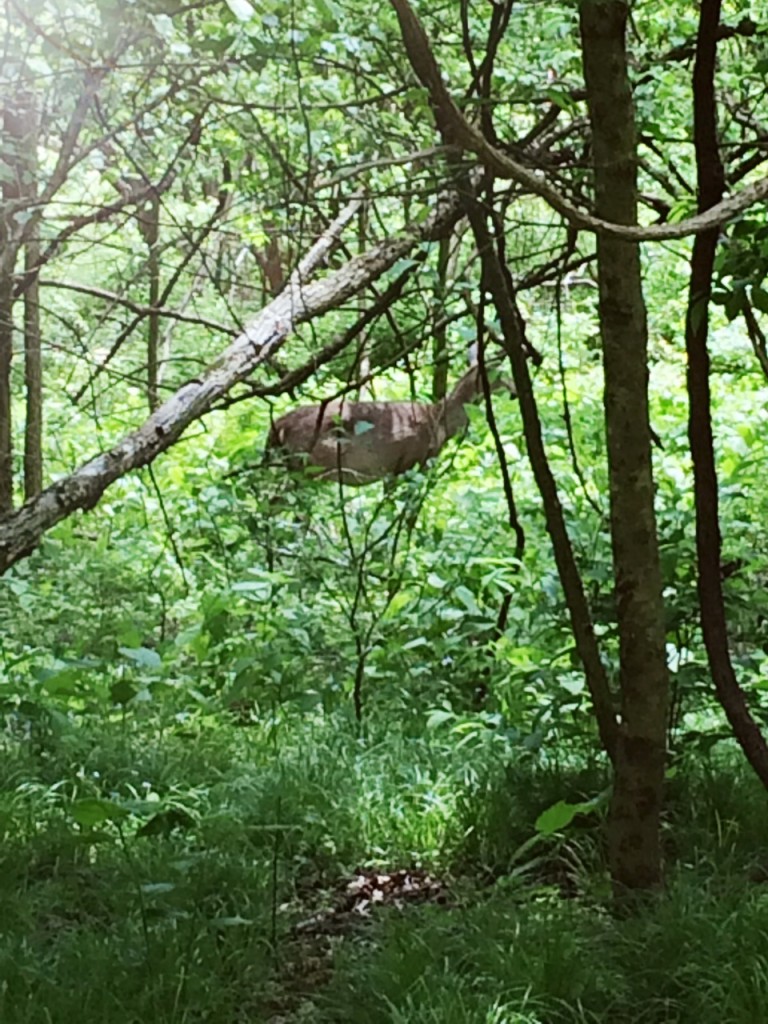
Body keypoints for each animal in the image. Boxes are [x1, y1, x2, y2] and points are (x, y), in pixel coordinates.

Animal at [266, 362, 518, 485]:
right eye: (500, 375)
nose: (515, 391)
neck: (439, 421)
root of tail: (278, 424)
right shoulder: (410, 461)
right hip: (307, 465)